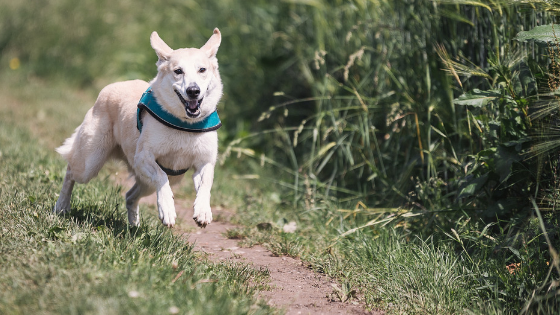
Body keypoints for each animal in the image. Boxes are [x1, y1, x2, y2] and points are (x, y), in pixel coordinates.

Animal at [54, 28, 223, 228]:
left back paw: (134, 226)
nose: (193, 91)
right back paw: (61, 206)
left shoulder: (204, 162)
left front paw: (203, 211)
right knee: (70, 172)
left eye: (202, 70)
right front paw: (167, 209)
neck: (184, 124)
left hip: (152, 181)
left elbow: (206, 185)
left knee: (130, 196)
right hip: (90, 162)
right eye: (178, 71)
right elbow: (161, 176)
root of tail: (111, 86)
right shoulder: (143, 157)